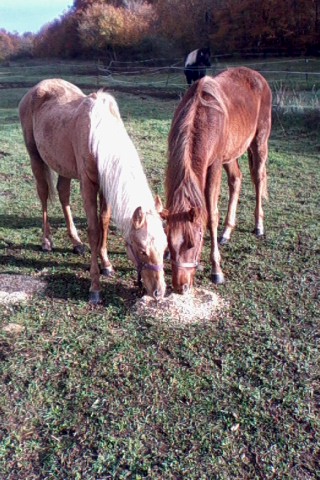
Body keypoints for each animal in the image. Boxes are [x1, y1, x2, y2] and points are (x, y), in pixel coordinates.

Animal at [19, 79, 168, 304]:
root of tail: (36, 88)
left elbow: (104, 221)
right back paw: (47, 241)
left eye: (165, 247)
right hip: (35, 157)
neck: (98, 135)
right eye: (142, 250)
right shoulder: (88, 185)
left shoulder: (106, 184)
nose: (158, 292)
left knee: (63, 194)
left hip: (64, 166)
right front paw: (95, 287)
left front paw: (106, 264)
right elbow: (94, 230)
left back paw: (76, 243)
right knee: (44, 194)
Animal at [164, 67, 272, 292]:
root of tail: (257, 77)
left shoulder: (213, 166)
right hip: (230, 155)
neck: (203, 119)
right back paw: (227, 232)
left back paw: (258, 225)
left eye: (193, 243)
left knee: (258, 179)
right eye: (169, 241)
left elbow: (211, 215)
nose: (180, 287)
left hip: (259, 143)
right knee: (236, 180)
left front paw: (216, 269)